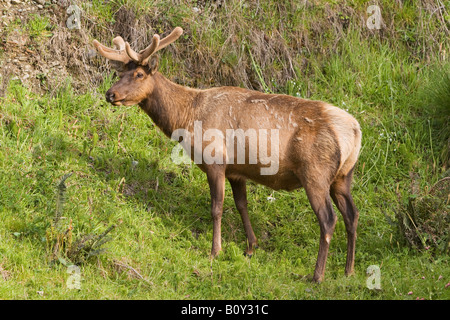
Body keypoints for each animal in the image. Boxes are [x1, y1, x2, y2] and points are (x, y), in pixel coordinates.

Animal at [94, 27, 362, 282]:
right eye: (120, 73)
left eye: (139, 75)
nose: (110, 94)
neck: (187, 118)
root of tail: (354, 131)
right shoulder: (237, 171)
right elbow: (242, 205)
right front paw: (251, 247)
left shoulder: (215, 160)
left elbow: (217, 207)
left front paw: (215, 251)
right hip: (343, 176)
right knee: (352, 214)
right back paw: (348, 271)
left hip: (315, 173)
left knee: (328, 219)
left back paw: (317, 275)